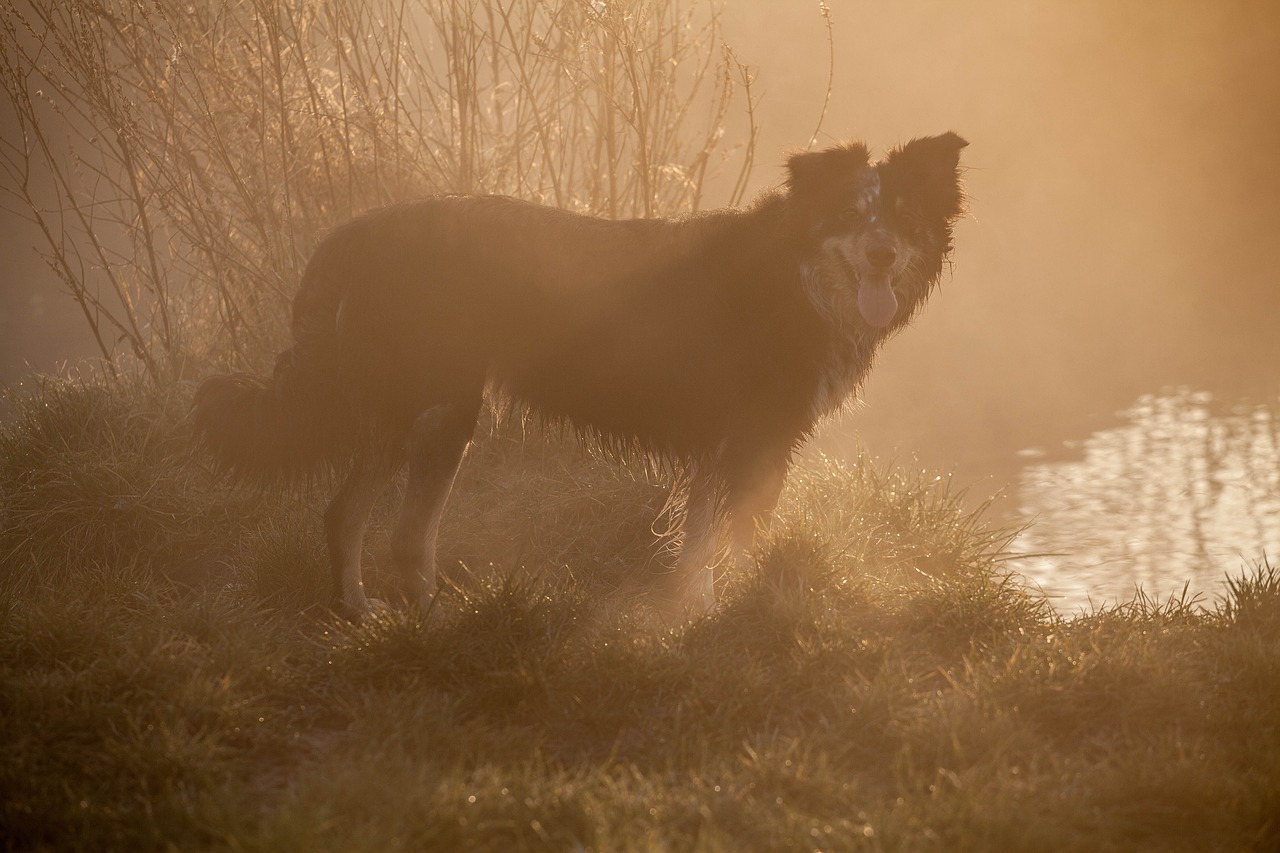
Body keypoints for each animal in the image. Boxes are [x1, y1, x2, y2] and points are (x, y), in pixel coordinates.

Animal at [194, 133, 962, 614]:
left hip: (423, 412)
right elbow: (718, 540)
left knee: (358, 518)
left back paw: (365, 613)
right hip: (434, 405)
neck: (792, 277)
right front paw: (714, 612)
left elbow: (729, 536)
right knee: (392, 528)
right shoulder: (738, 437)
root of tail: (356, 234)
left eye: (902, 215)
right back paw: (419, 618)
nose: (882, 255)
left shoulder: (759, 441)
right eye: (850, 213)